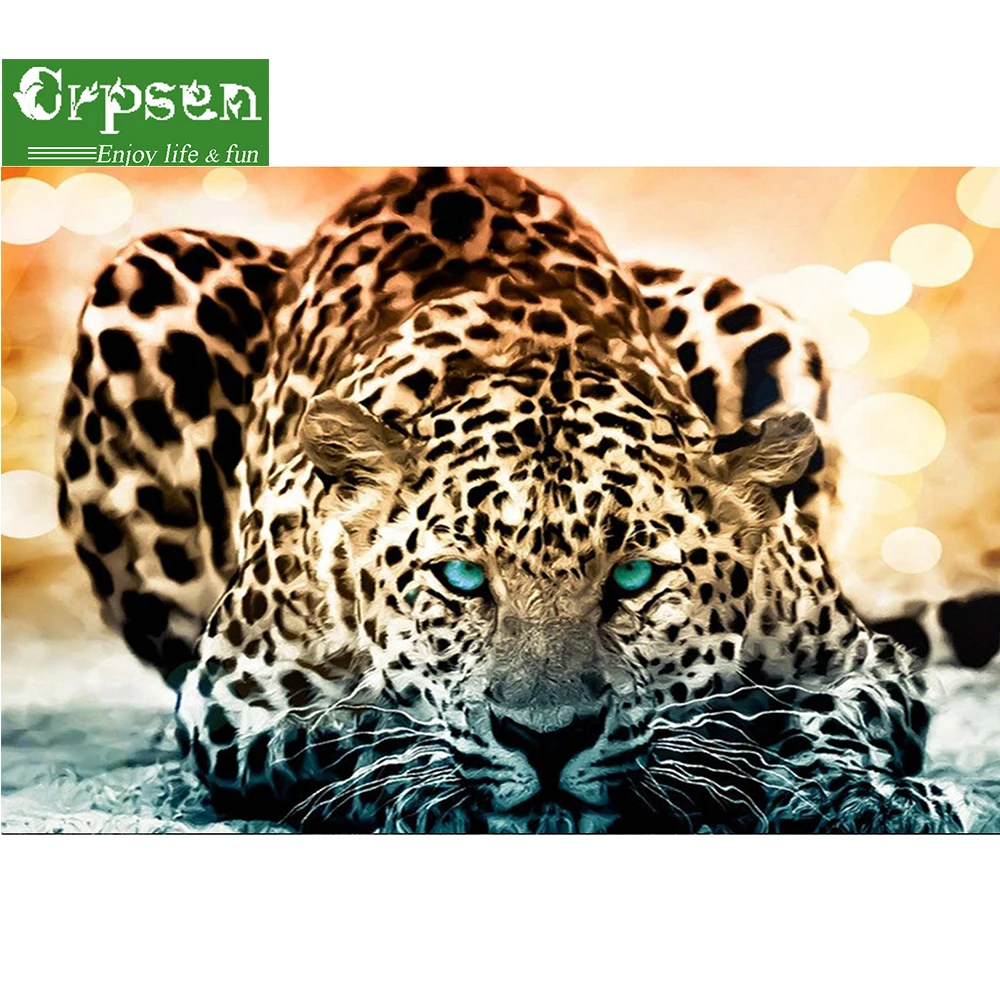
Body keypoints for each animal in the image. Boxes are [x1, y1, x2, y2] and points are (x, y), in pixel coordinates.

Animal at [57, 166, 967, 832]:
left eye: (633, 577)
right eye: (462, 578)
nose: (547, 739)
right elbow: (347, 731)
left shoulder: (863, 659)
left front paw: (859, 793)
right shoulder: (230, 698)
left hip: (755, 320)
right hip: (146, 279)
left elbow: (823, 714)